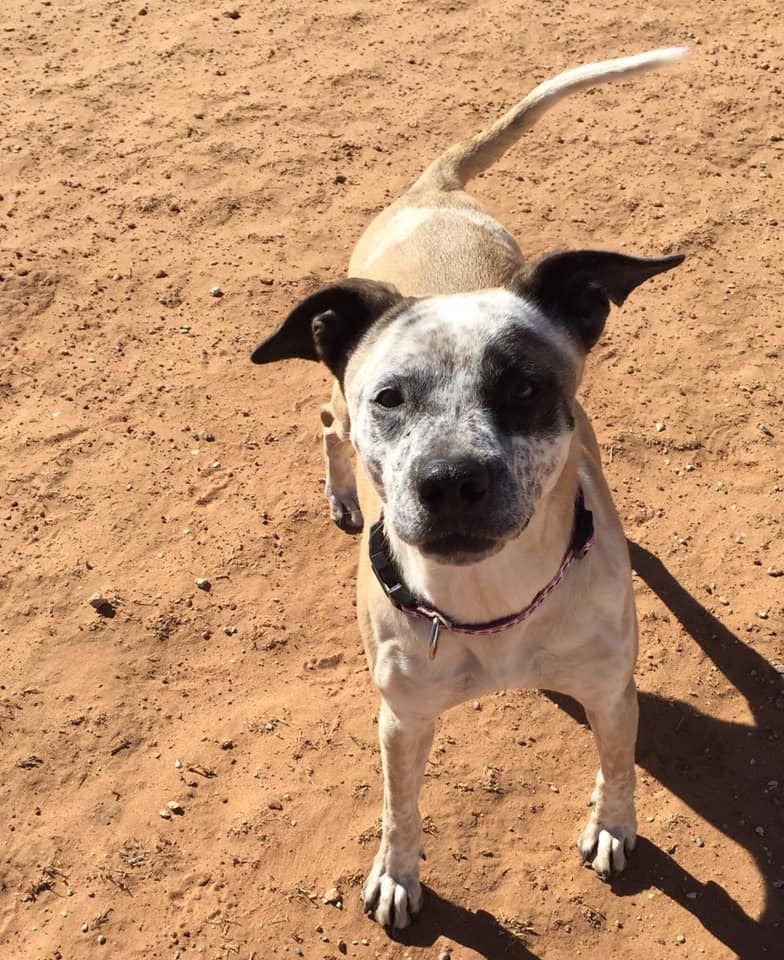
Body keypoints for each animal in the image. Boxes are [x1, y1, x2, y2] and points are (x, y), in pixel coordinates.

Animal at [251, 45, 688, 928]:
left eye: (521, 387)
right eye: (390, 397)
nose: (451, 481)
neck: (493, 607)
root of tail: (433, 192)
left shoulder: (611, 691)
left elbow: (619, 767)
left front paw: (614, 828)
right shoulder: (400, 721)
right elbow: (401, 810)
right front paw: (397, 875)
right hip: (334, 402)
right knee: (324, 418)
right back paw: (341, 491)